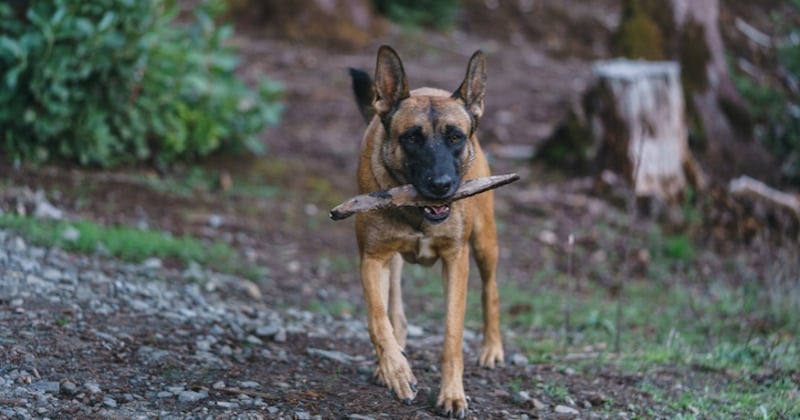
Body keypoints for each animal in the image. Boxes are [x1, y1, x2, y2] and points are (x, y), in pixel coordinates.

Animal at [348, 46, 504, 416]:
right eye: (412, 137)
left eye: (455, 136)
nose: (441, 186)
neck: (417, 211)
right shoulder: (372, 259)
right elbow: (378, 320)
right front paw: (396, 371)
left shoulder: (456, 260)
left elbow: (452, 336)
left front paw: (452, 394)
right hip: (393, 261)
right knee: (395, 313)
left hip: (484, 242)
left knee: (490, 289)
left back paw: (492, 348)